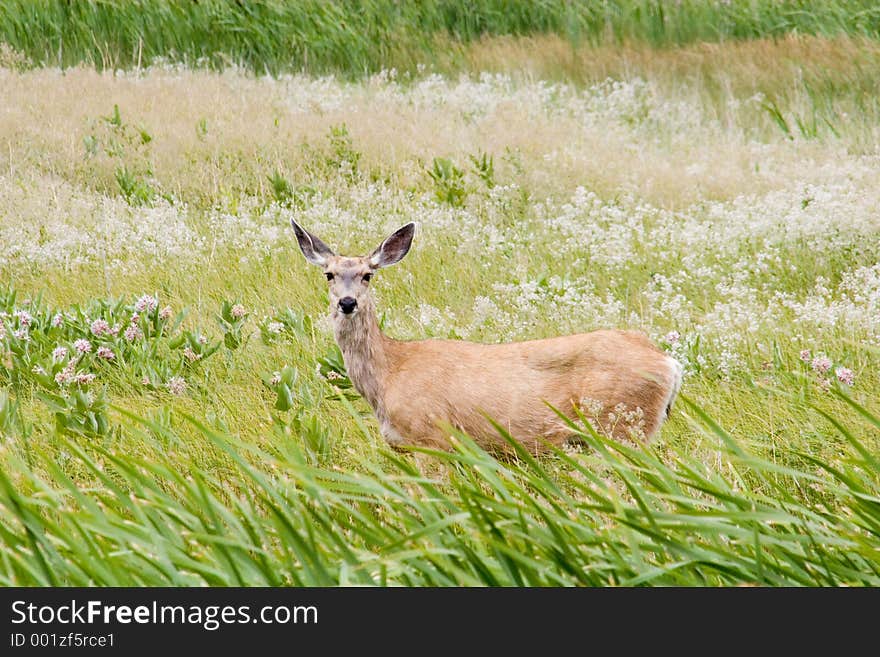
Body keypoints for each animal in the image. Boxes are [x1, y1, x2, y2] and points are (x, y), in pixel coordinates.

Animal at [292, 218, 684, 454]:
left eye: (367, 275)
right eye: (329, 274)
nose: (347, 302)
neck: (391, 372)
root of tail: (668, 362)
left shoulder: (432, 438)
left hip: (623, 427)